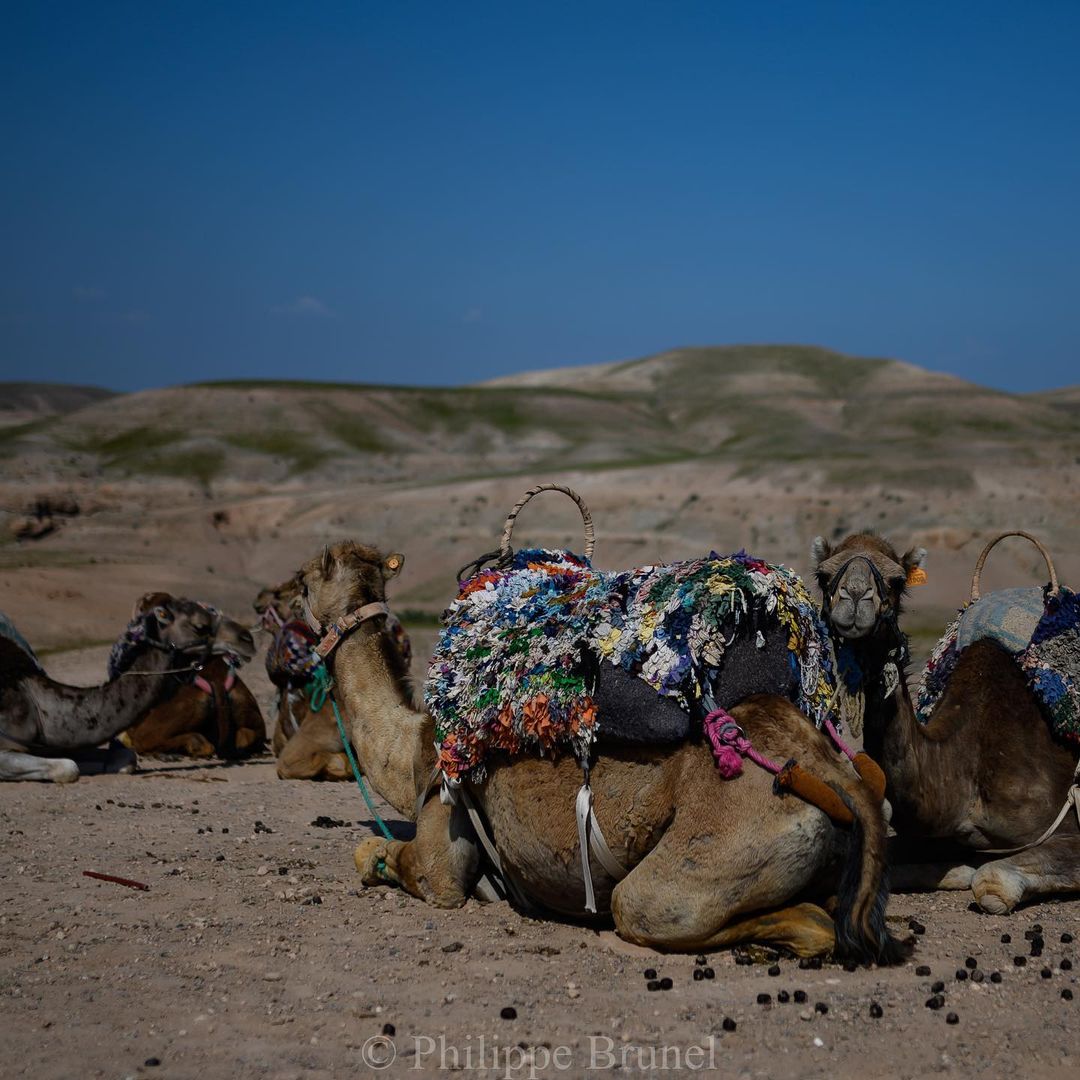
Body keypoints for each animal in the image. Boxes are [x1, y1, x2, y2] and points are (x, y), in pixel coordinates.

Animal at [298, 540, 911, 963]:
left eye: (301, 583)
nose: (275, 595)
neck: (412, 750)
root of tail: (836, 775)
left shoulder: (443, 829)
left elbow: (388, 861)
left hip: (712, 854)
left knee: (658, 908)